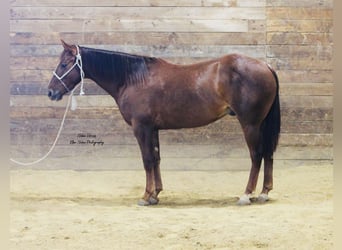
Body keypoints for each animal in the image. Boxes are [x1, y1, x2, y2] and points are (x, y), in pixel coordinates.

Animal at [47, 40, 280, 206]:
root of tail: (265, 65)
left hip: (250, 124)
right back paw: (264, 193)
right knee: (268, 153)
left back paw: (246, 195)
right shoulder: (153, 129)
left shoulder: (141, 128)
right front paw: (156, 195)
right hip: (262, 124)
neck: (133, 79)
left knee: (256, 155)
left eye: (64, 64)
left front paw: (145, 196)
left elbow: (147, 160)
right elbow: (156, 158)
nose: (50, 92)